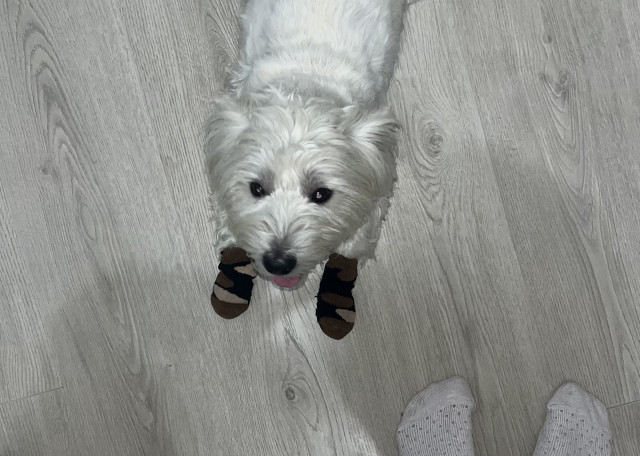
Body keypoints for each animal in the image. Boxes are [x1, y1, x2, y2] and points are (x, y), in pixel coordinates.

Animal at [205, 0, 406, 289]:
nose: (278, 262)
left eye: (321, 194)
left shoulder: (379, 176)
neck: (306, 79)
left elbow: (355, 242)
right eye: (256, 188)